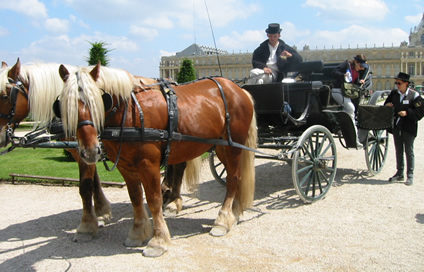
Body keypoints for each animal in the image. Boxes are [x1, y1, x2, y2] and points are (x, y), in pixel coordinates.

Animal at [57, 63, 256, 258]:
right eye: (63, 105)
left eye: (98, 101)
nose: (89, 151)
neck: (131, 111)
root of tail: (238, 88)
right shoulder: (125, 165)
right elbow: (135, 197)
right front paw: (138, 232)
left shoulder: (148, 164)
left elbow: (153, 200)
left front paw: (158, 241)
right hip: (222, 148)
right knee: (236, 177)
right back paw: (234, 213)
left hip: (233, 147)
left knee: (233, 179)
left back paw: (222, 219)